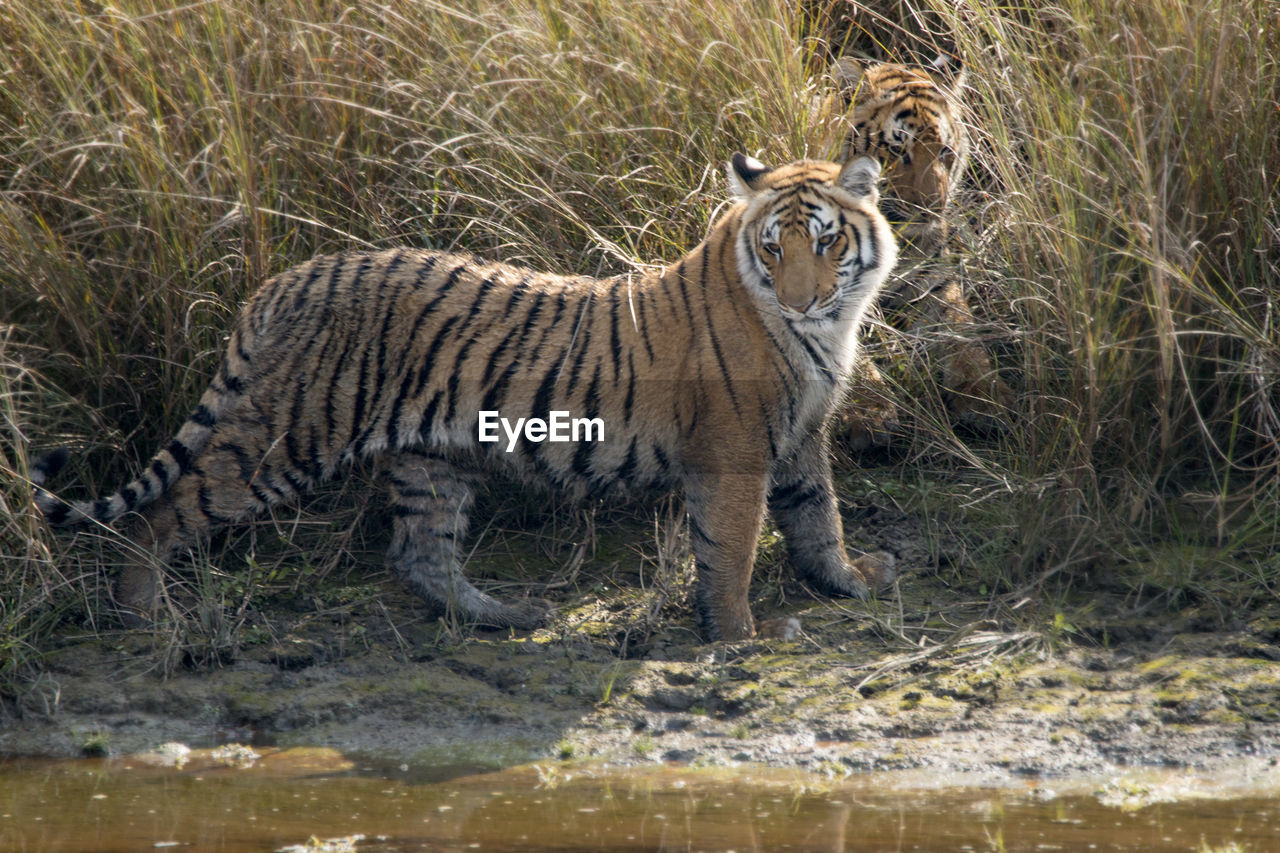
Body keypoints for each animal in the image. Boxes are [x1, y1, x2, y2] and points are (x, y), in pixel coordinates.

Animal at [32, 156, 901, 640]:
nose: (799, 301)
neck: (827, 332)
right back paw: (143, 613)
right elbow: (734, 545)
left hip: (431, 456)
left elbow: (817, 514)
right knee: (161, 510)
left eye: (827, 241)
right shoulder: (733, 448)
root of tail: (284, 283)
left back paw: (508, 617)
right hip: (284, 436)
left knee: (420, 552)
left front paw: (851, 579)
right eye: (774, 247)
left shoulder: (800, 435)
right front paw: (738, 634)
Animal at [824, 56, 1013, 448]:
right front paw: (867, 414)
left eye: (944, 151)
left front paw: (985, 397)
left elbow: (962, 335)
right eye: (897, 149)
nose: (931, 207)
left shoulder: (934, 280)